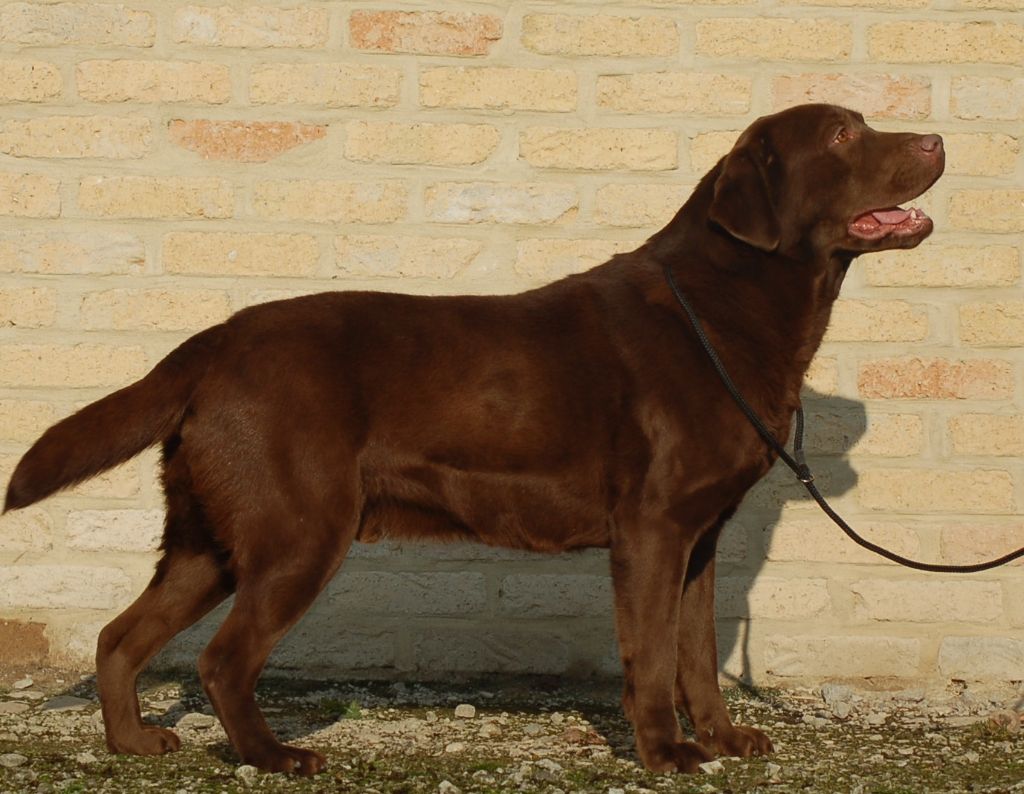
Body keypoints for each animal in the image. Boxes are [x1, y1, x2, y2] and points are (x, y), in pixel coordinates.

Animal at [4, 104, 944, 774]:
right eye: (843, 132)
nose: (938, 138)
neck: (727, 307)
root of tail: (213, 340)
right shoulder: (651, 532)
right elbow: (649, 655)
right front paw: (666, 752)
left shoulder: (699, 540)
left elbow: (698, 653)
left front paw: (721, 739)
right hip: (297, 532)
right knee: (223, 658)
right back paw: (274, 756)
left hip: (211, 538)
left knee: (119, 637)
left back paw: (132, 743)